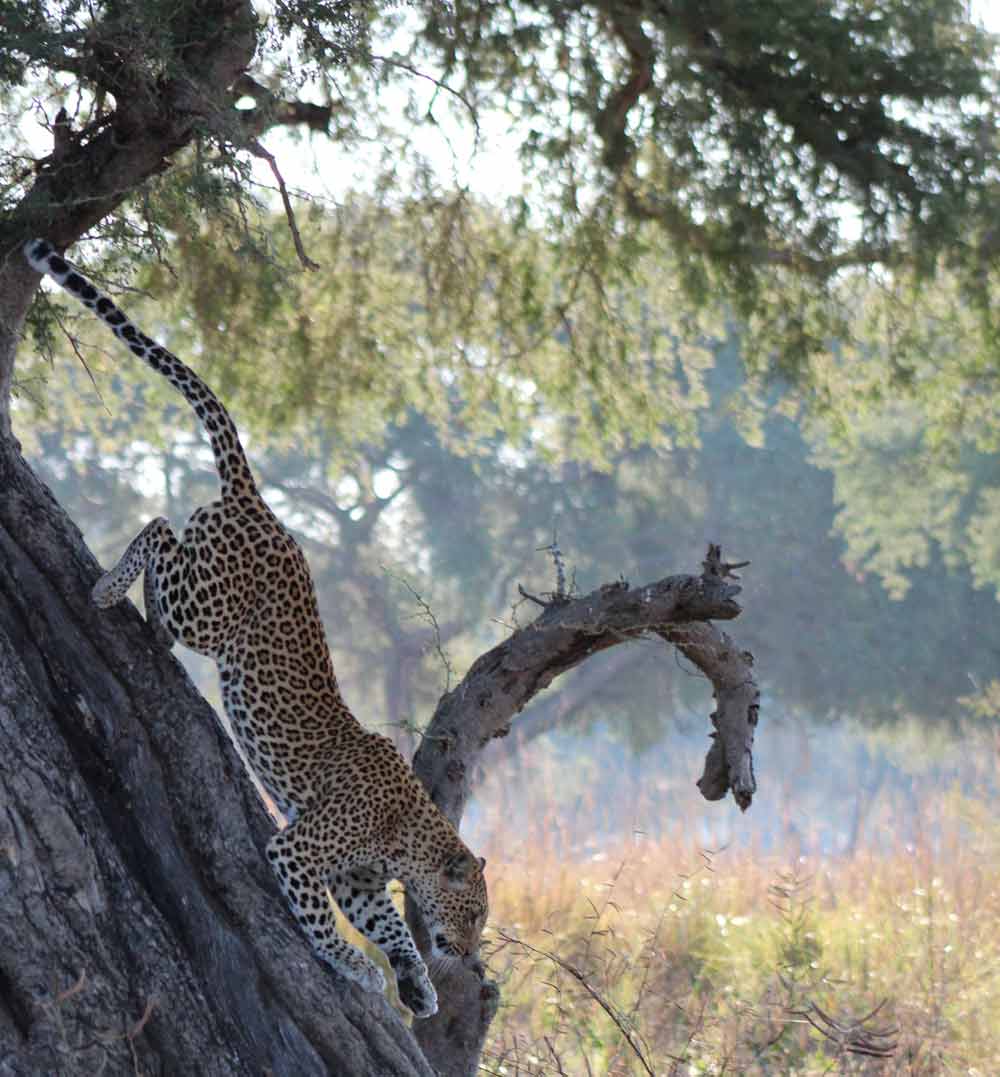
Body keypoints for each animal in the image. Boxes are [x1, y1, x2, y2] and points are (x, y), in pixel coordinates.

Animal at [24, 238, 488, 1016]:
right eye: (476, 911)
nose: (472, 954)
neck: (407, 833)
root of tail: (260, 504)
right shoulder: (300, 851)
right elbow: (327, 924)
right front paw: (358, 970)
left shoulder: (360, 879)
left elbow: (389, 923)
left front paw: (415, 984)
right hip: (209, 607)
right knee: (158, 527)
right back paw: (107, 588)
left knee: (165, 549)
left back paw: (147, 624)